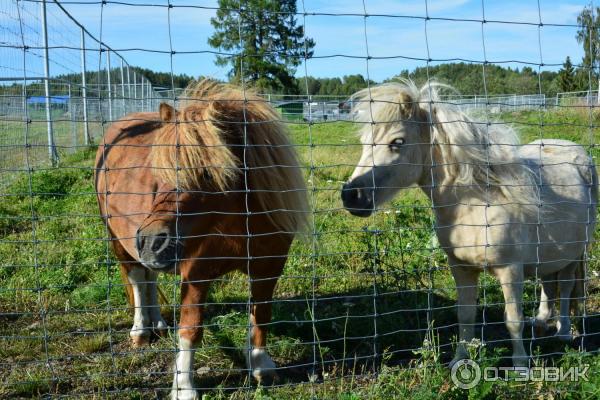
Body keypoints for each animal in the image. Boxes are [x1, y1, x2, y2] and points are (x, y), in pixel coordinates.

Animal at [95, 79, 310, 398]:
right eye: (158, 174)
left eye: (208, 174)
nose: (151, 242)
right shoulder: (196, 276)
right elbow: (191, 330)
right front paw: (184, 387)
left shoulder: (268, 268)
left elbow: (261, 314)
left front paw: (261, 366)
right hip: (119, 241)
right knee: (135, 278)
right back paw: (141, 330)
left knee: (149, 278)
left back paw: (158, 322)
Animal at [340, 79, 596, 368]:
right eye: (364, 142)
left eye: (397, 142)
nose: (351, 196)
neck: (476, 204)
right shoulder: (461, 269)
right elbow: (465, 314)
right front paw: (459, 360)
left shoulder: (510, 270)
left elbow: (513, 320)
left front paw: (520, 366)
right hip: (552, 253)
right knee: (548, 283)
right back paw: (541, 321)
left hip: (575, 252)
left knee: (566, 285)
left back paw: (564, 331)